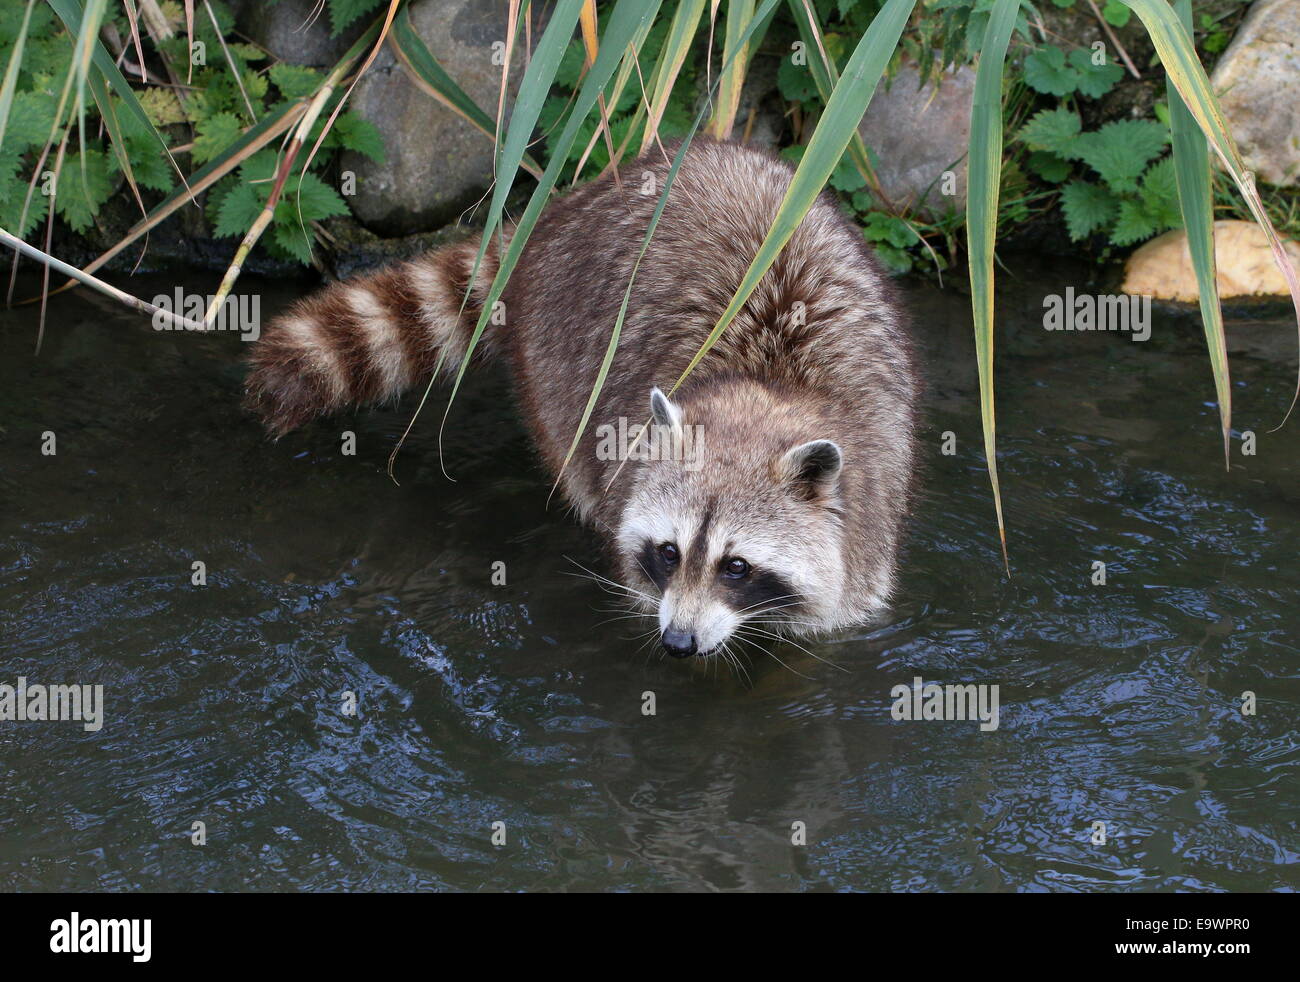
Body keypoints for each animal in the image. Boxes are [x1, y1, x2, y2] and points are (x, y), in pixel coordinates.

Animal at [244, 136, 915, 660]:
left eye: (737, 566)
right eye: (668, 552)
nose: (678, 643)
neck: (765, 385)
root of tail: (569, 204)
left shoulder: (872, 495)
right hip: (555, 349)